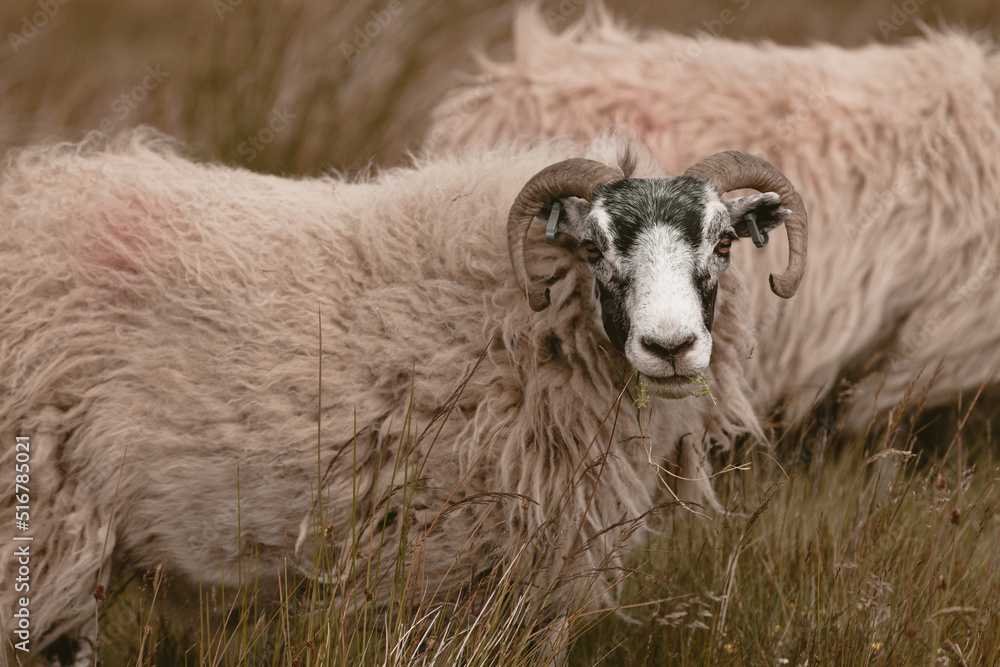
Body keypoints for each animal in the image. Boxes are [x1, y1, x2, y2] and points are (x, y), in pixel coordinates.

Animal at [0, 129, 806, 661]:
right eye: (595, 248)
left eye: (723, 244)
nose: (671, 346)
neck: (511, 321)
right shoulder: (435, 567)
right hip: (40, 520)